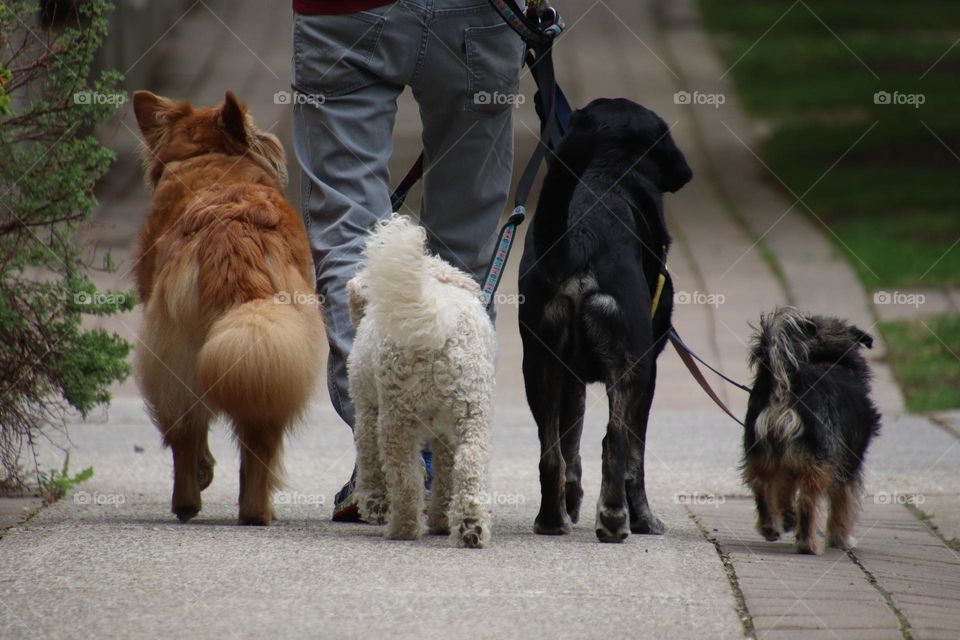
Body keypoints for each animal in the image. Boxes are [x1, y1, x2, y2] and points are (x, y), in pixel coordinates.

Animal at [131, 92, 322, 528]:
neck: (209, 159)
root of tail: (229, 235)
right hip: (272, 359)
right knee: (252, 442)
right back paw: (255, 511)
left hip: (178, 359)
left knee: (186, 434)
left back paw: (192, 500)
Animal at [344, 218, 496, 548]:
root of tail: (439, 323)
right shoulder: (445, 434)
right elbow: (446, 472)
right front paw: (441, 519)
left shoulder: (366, 412)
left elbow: (369, 461)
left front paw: (374, 502)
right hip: (471, 414)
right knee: (469, 466)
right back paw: (470, 525)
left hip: (395, 420)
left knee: (405, 478)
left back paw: (402, 527)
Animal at [516, 99, 688, 540]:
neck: (608, 169)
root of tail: (579, 239)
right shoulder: (649, 370)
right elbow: (635, 460)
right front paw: (643, 518)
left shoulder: (570, 376)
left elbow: (571, 441)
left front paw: (572, 500)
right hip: (632, 366)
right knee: (615, 443)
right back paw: (614, 519)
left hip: (538, 365)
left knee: (550, 452)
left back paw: (551, 519)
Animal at [748, 308, 880, 552]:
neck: (826, 360)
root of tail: (786, 384)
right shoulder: (849, 463)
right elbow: (843, 503)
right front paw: (841, 538)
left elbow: (784, 489)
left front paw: (786, 516)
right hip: (819, 462)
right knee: (807, 500)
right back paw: (807, 544)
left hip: (763, 451)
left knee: (761, 483)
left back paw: (770, 526)